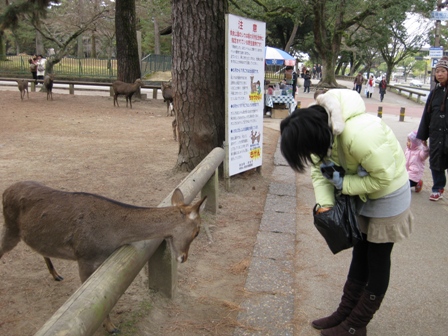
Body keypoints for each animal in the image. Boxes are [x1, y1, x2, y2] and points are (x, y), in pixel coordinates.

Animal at [0, 181, 207, 334]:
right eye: (197, 231)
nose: (183, 257)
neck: (113, 233)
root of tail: (5, 190)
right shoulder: (84, 257)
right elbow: (94, 297)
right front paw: (111, 327)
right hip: (11, 228)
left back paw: (56, 275)